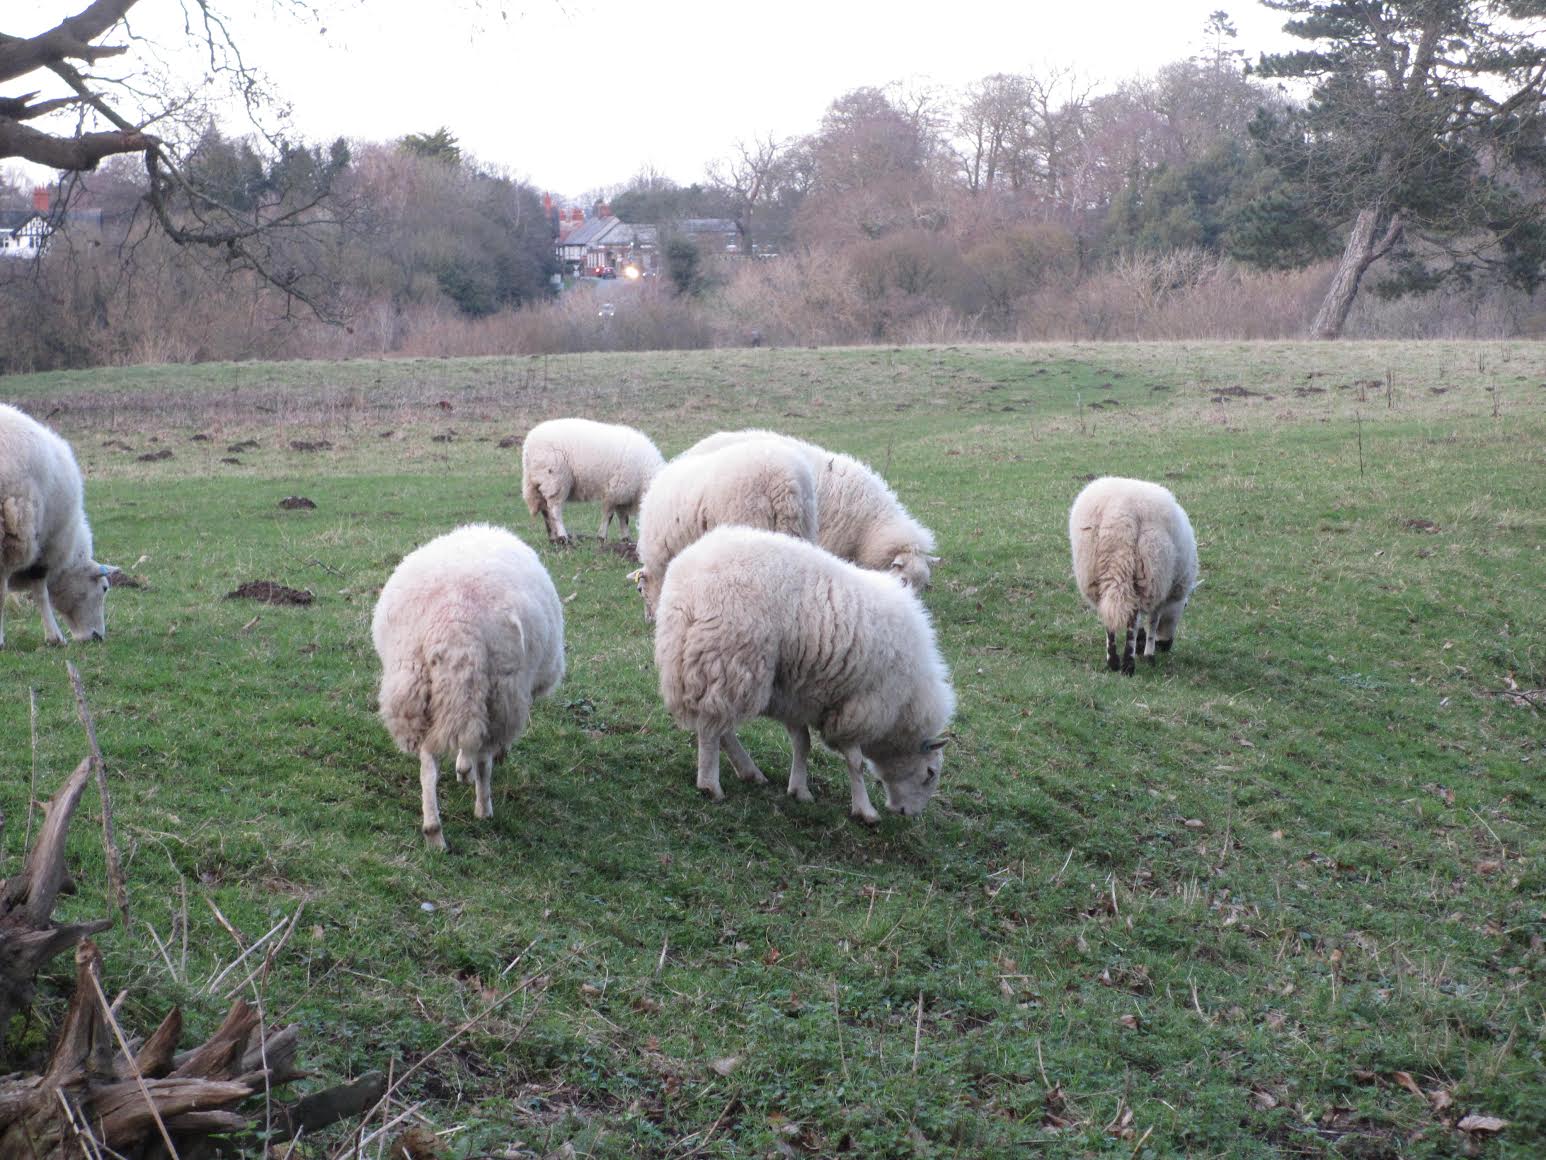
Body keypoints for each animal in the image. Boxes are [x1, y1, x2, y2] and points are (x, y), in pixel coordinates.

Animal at [372, 523, 565, 850]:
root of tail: (456, 621)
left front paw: (462, 769)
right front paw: (469, 771)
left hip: (419, 689)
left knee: (428, 764)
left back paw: (434, 831)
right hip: (499, 691)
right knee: (484, 758)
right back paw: (483, 809)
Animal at [520, 418, 665, 543]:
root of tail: (528, 447)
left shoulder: (623, 494)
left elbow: (623, 517)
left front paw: (626, 539)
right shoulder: (615, 490)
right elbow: (609, 515)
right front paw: (602, 537)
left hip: (541, 481)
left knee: (545, 510)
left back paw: (553, 538)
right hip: (555, 478)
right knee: (554, 510)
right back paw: (563, 537)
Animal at [654, 526, 955, 824]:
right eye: (930, 773)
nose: (908, 813)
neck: (905, 706)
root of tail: (688, 581)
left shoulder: (798, 696)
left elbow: (802, 744)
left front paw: (799, 789)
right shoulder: (858, 706)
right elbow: (855, 762)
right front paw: (865, 810)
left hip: (706, 665)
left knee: (721, 727)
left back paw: (749, 771)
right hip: (727, 660)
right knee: (711, 727)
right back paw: (710, 784)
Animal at [1068, 476, 1198, 675]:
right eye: (1185, 605)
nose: (1166, 646)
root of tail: (1119, 514)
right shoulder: (1162, 590)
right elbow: (1153, 621)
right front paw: (1149, 653)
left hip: (1096, 571)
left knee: (1109, 615)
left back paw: (1113, 661)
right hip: (1150, 570)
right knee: (1133, 619)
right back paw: (1128, 665)